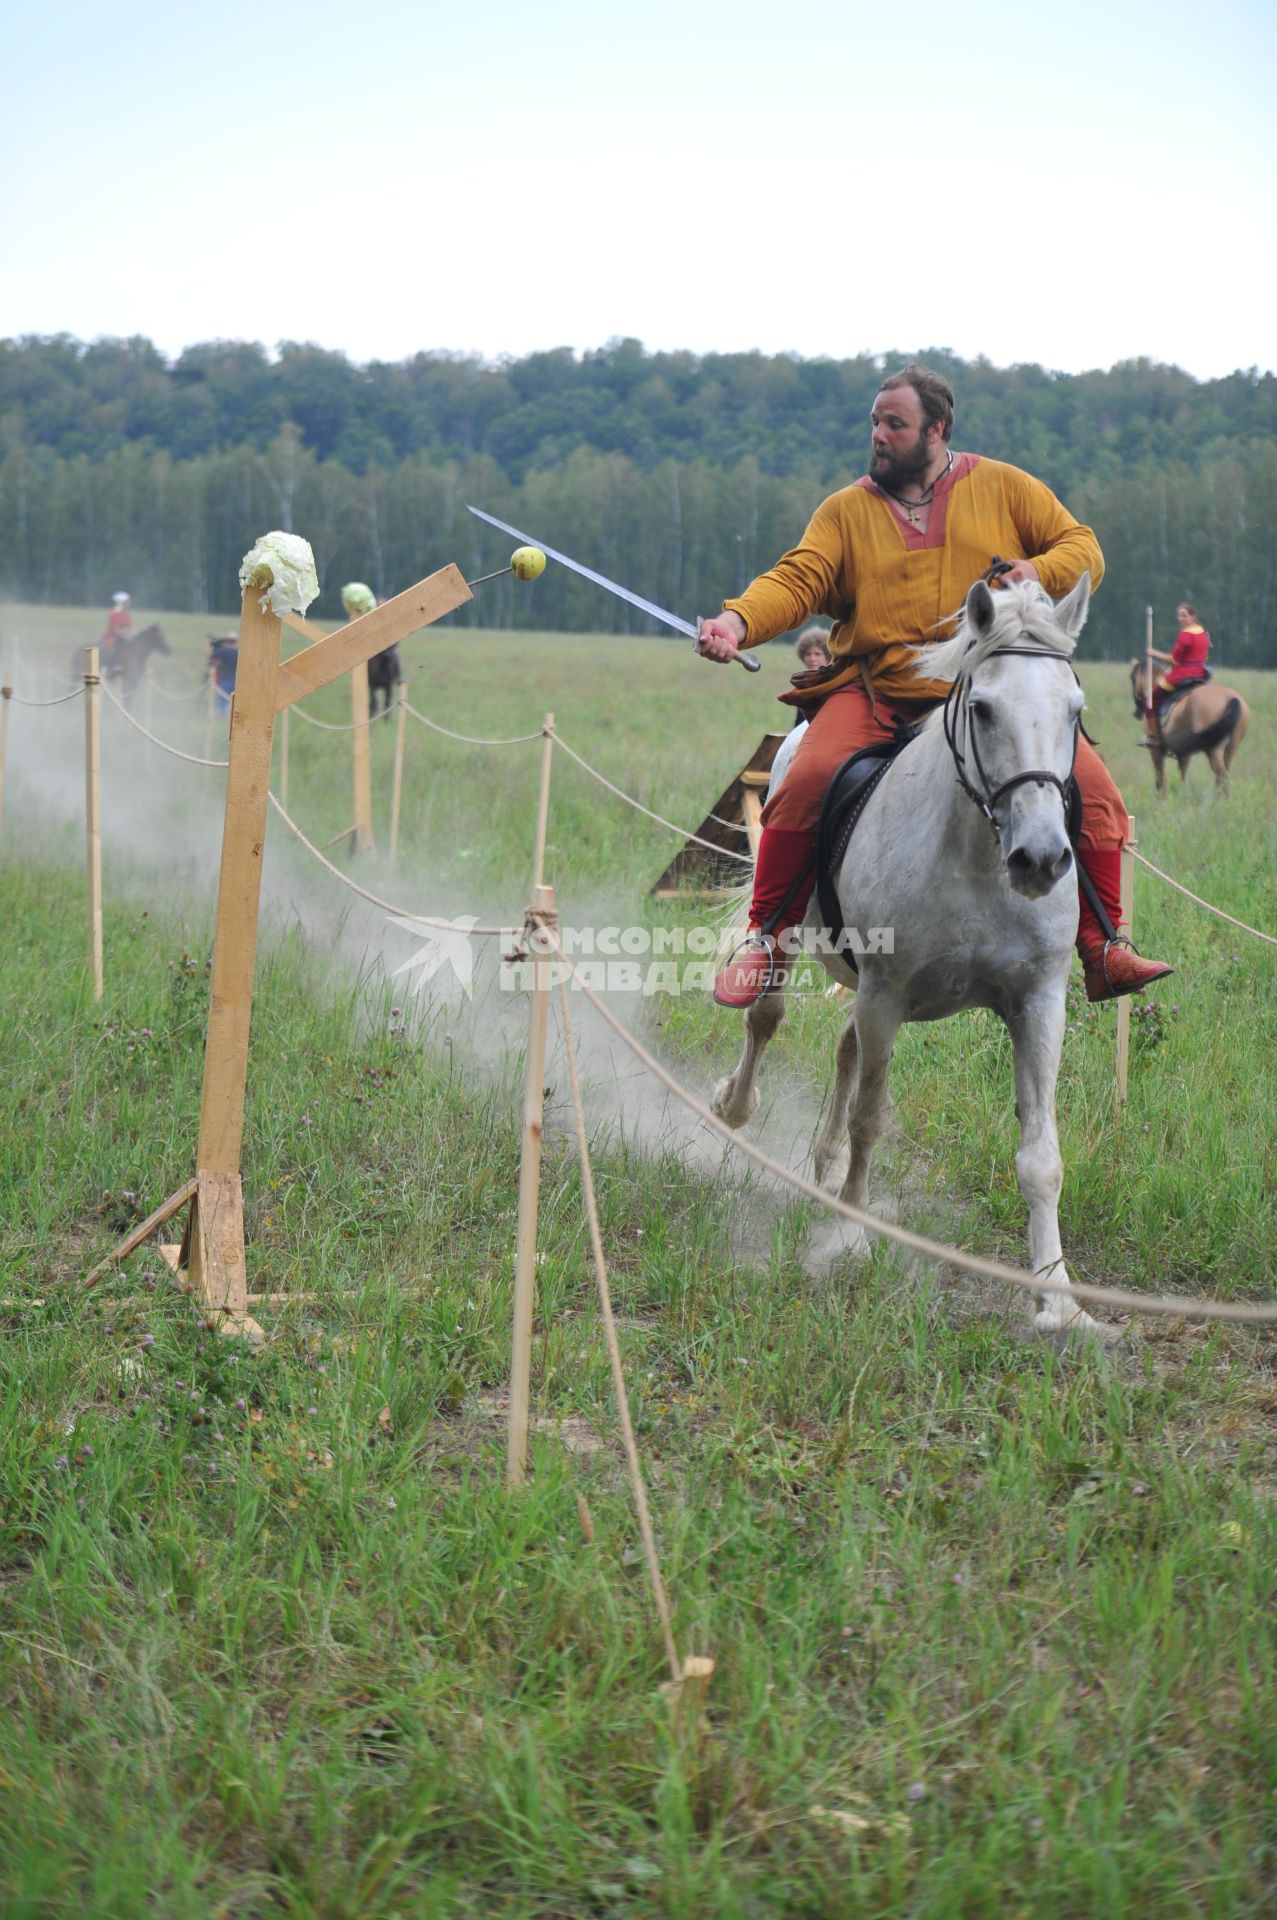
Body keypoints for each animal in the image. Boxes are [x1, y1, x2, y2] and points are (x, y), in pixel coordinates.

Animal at [710, 572, 1098, 1336]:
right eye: (982, 708)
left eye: (1074, 711)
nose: (1041, 858)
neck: (977, 859)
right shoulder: (885, 994)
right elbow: (871, 1117)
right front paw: (850, 1237)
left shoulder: (1039, 1002)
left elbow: (1041, 1155)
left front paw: (1056, 1298)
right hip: (799, 945)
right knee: (766, 1019)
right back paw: (737, 1107)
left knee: (843, 1050)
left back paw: (824, 1169)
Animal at [1129, 652, 1244, 787]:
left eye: (1132, 678)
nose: (1137, 712)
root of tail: (1232, 698)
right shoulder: (1183, 752)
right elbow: (1183, 779)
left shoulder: (1155, 748)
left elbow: (1161, 781)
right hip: (1231, 749)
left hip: (1213, 749)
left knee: (1222, 777)